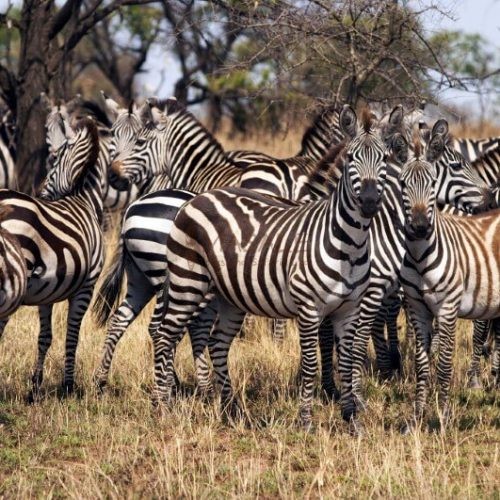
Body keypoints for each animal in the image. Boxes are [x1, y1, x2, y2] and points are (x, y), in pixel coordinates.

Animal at [0, 116, 104, 398]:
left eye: (54, 160)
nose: (42, 194)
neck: (85, 199)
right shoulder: (87, 286)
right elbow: (72, 336)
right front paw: (68, 385)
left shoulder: (45, 292)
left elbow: (45, 337)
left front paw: (35, 386)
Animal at [150, 107, 392, 432]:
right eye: (352, 158)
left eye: (385, 158)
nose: (368, 202)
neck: (349, 244)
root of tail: (196, 197)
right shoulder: (308, 307)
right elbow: (310, 364)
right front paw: (306, 422)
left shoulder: (349, 309)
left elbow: (348, 360)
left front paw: (352, 421)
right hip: (187, 282)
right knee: (165, 336)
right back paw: (163, 407)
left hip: (228, 296)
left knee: (216, 343)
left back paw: (231, 410)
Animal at [396, 135, 498, 432]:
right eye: (403, 184)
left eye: (432, 183)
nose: (420, 227)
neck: (420, 254)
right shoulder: (417, 308)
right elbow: (421, 364)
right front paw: (416, 419)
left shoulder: (448, 308)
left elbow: (443, 365)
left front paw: (443, 417)